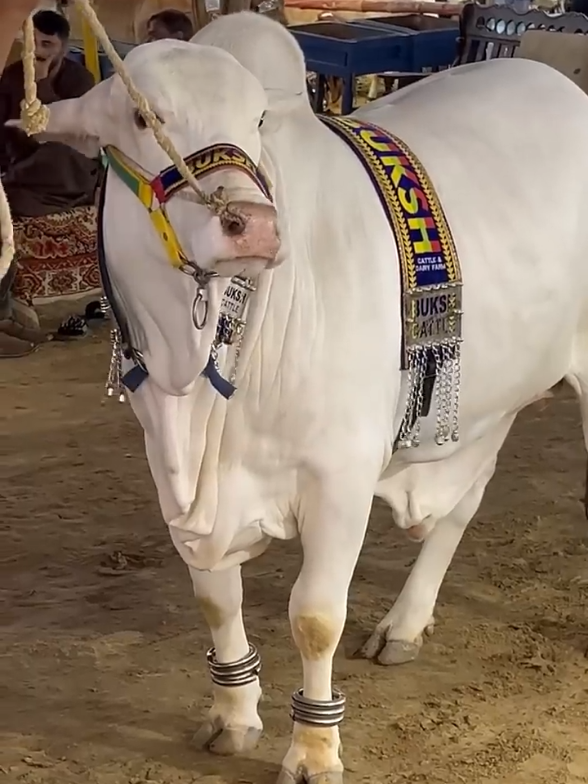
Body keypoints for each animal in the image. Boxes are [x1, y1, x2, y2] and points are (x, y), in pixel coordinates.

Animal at [12, 13, 588, 782]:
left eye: (257, 119)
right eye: (141, 116)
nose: (253, 225)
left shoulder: (340, 475)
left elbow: (315, 616)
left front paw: (315, 748)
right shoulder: (176, 481)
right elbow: (215, 598)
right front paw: (233, 713)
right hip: (483, 403)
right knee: (464, 502)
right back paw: (405, 623)